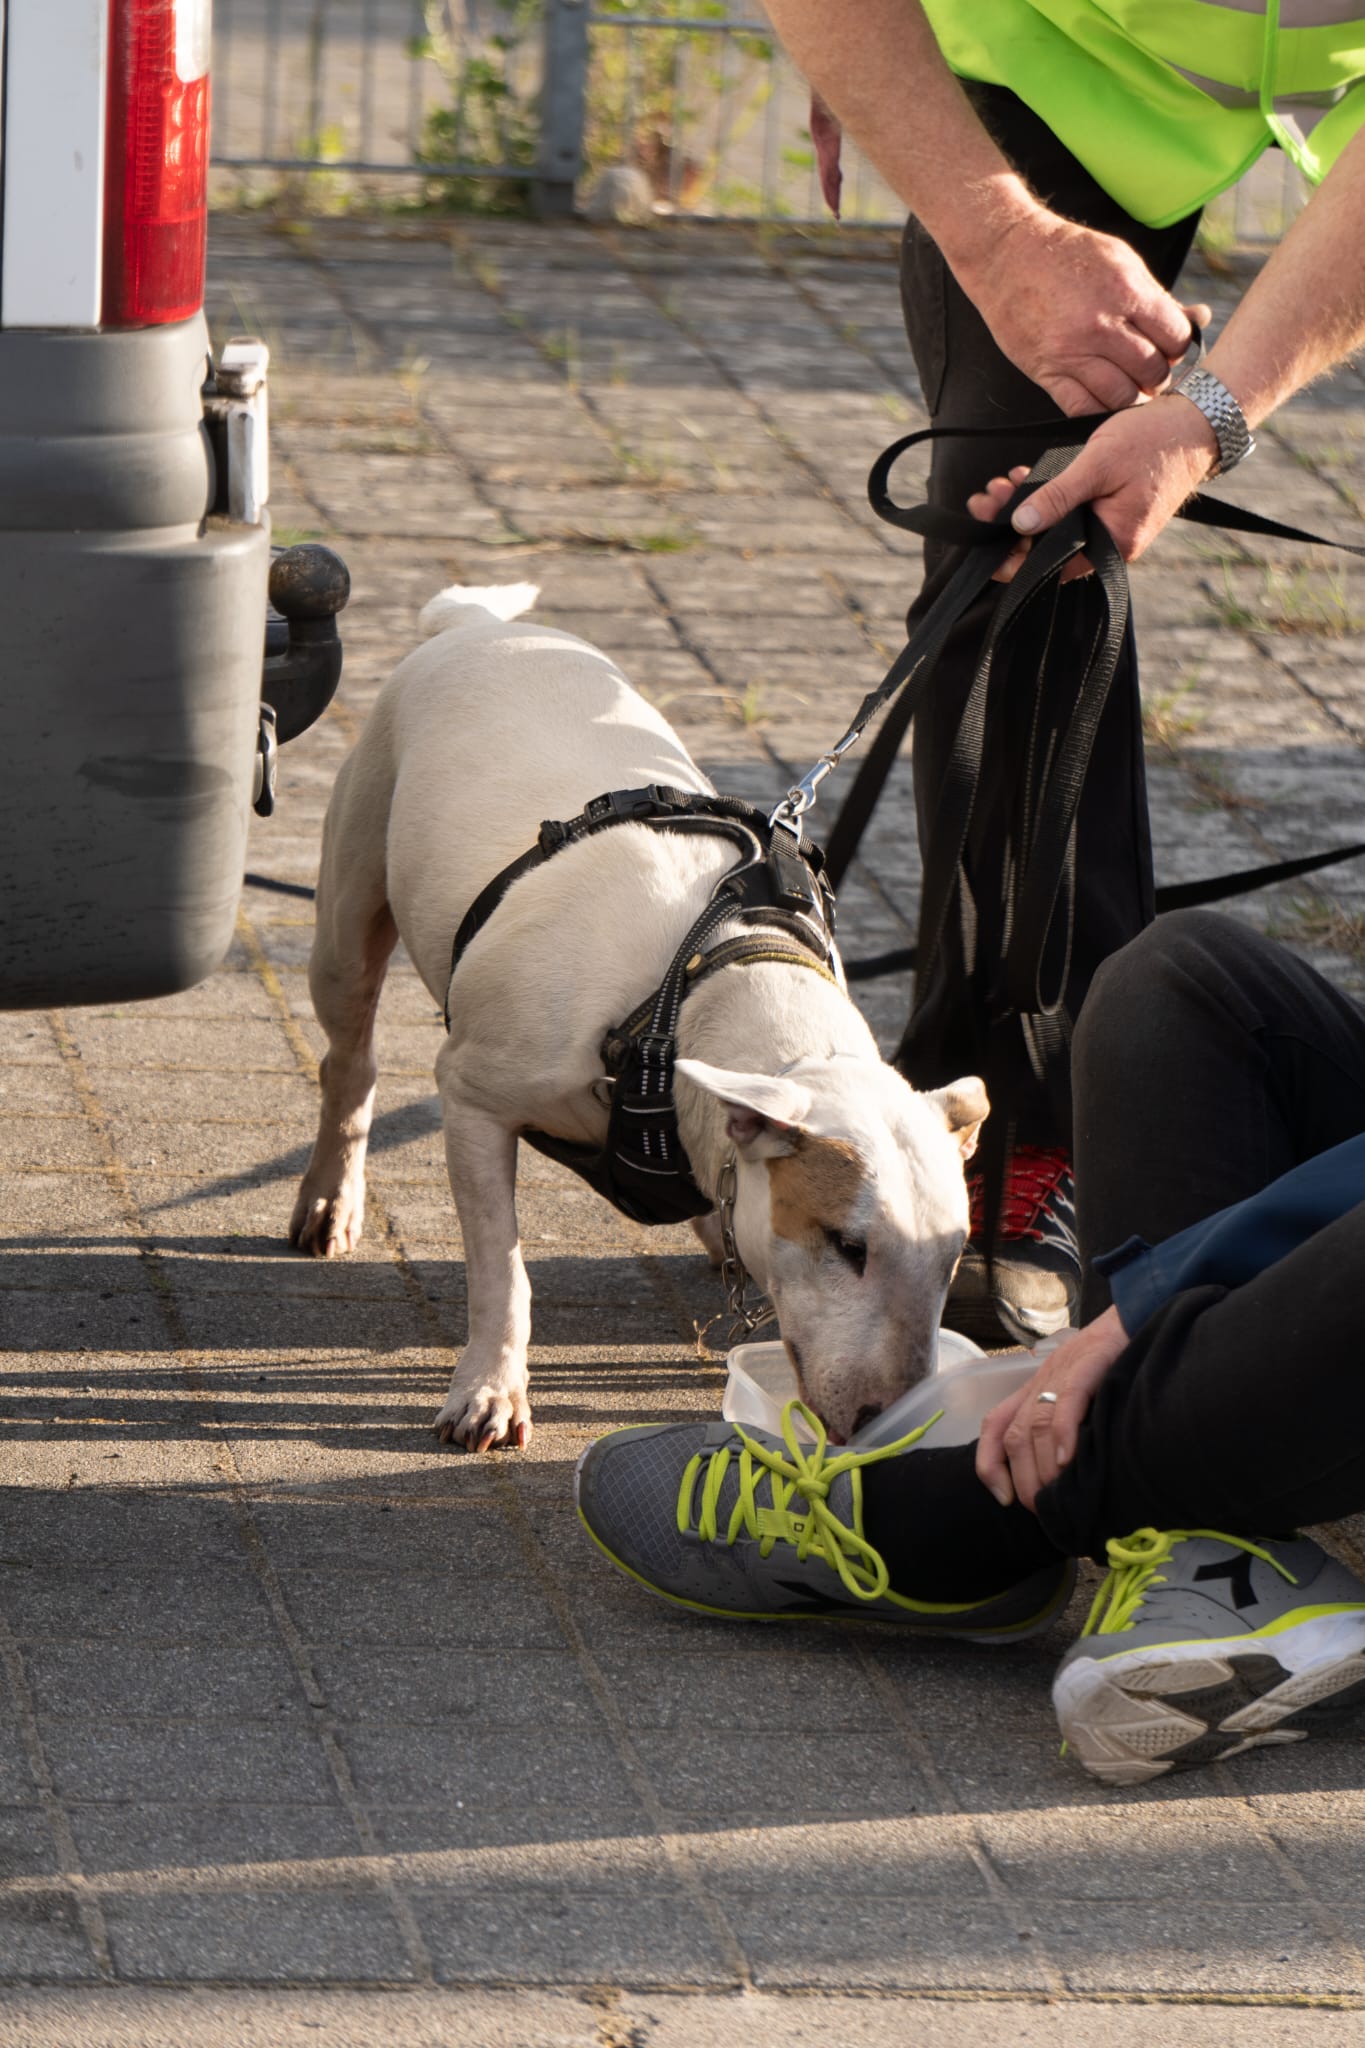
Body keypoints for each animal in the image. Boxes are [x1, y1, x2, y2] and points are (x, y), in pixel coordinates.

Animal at [294, 585, 986, 1449]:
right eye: (845, 1244)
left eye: (953, 1258)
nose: (885, 1426)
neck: (694, 988)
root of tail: (478, 626)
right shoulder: (472, 1098)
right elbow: (500, 1268)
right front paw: (488, 1392)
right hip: (350, 905)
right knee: (349, 1058)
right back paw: (330, 1202)